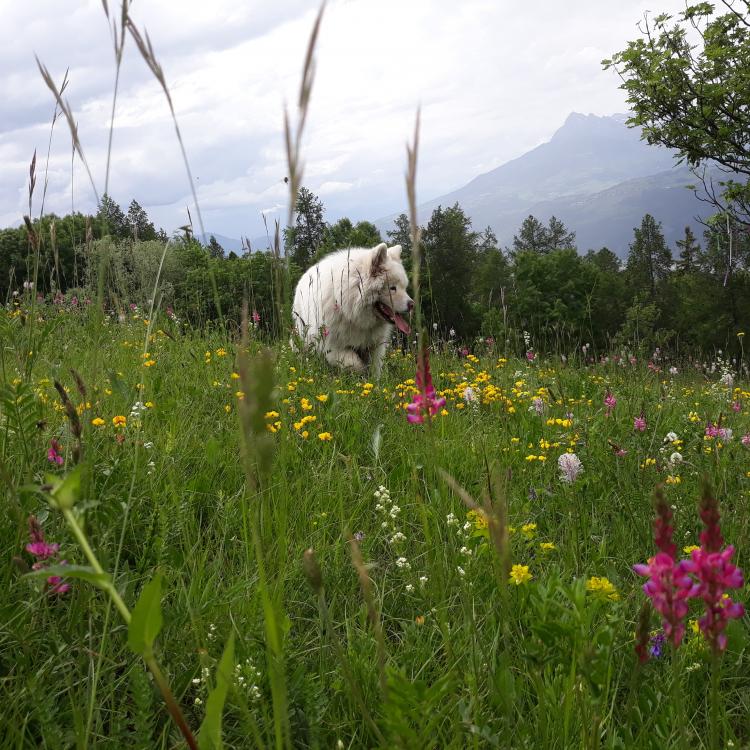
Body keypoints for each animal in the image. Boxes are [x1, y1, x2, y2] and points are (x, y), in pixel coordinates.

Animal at [292, 244, 414, 376]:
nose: (412, 304)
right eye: (392, 288)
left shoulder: (374, 346)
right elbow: (355, 363)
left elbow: (374, 368)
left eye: (404, 287)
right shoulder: (331, 346)